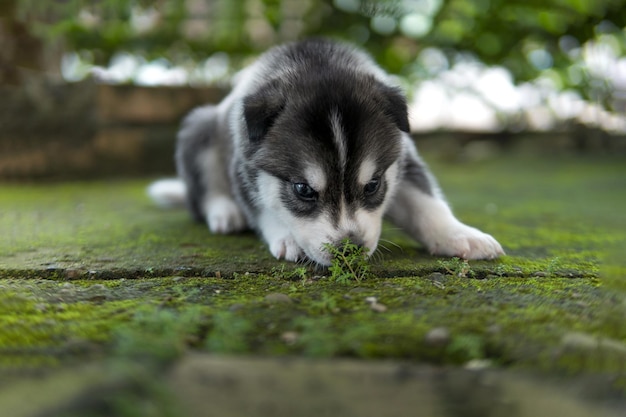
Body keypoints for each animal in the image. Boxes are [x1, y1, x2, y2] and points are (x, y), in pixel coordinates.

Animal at [149, 39, 504, 266]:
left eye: (372, 186)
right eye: (303, 190)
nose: (350, 250)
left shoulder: (404, 161)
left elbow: (427, 204)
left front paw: (460, 235)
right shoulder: (244, 166)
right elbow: (264, 209)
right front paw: (287, 237)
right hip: (200, 128)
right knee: (203, 195)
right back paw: (225, 212)